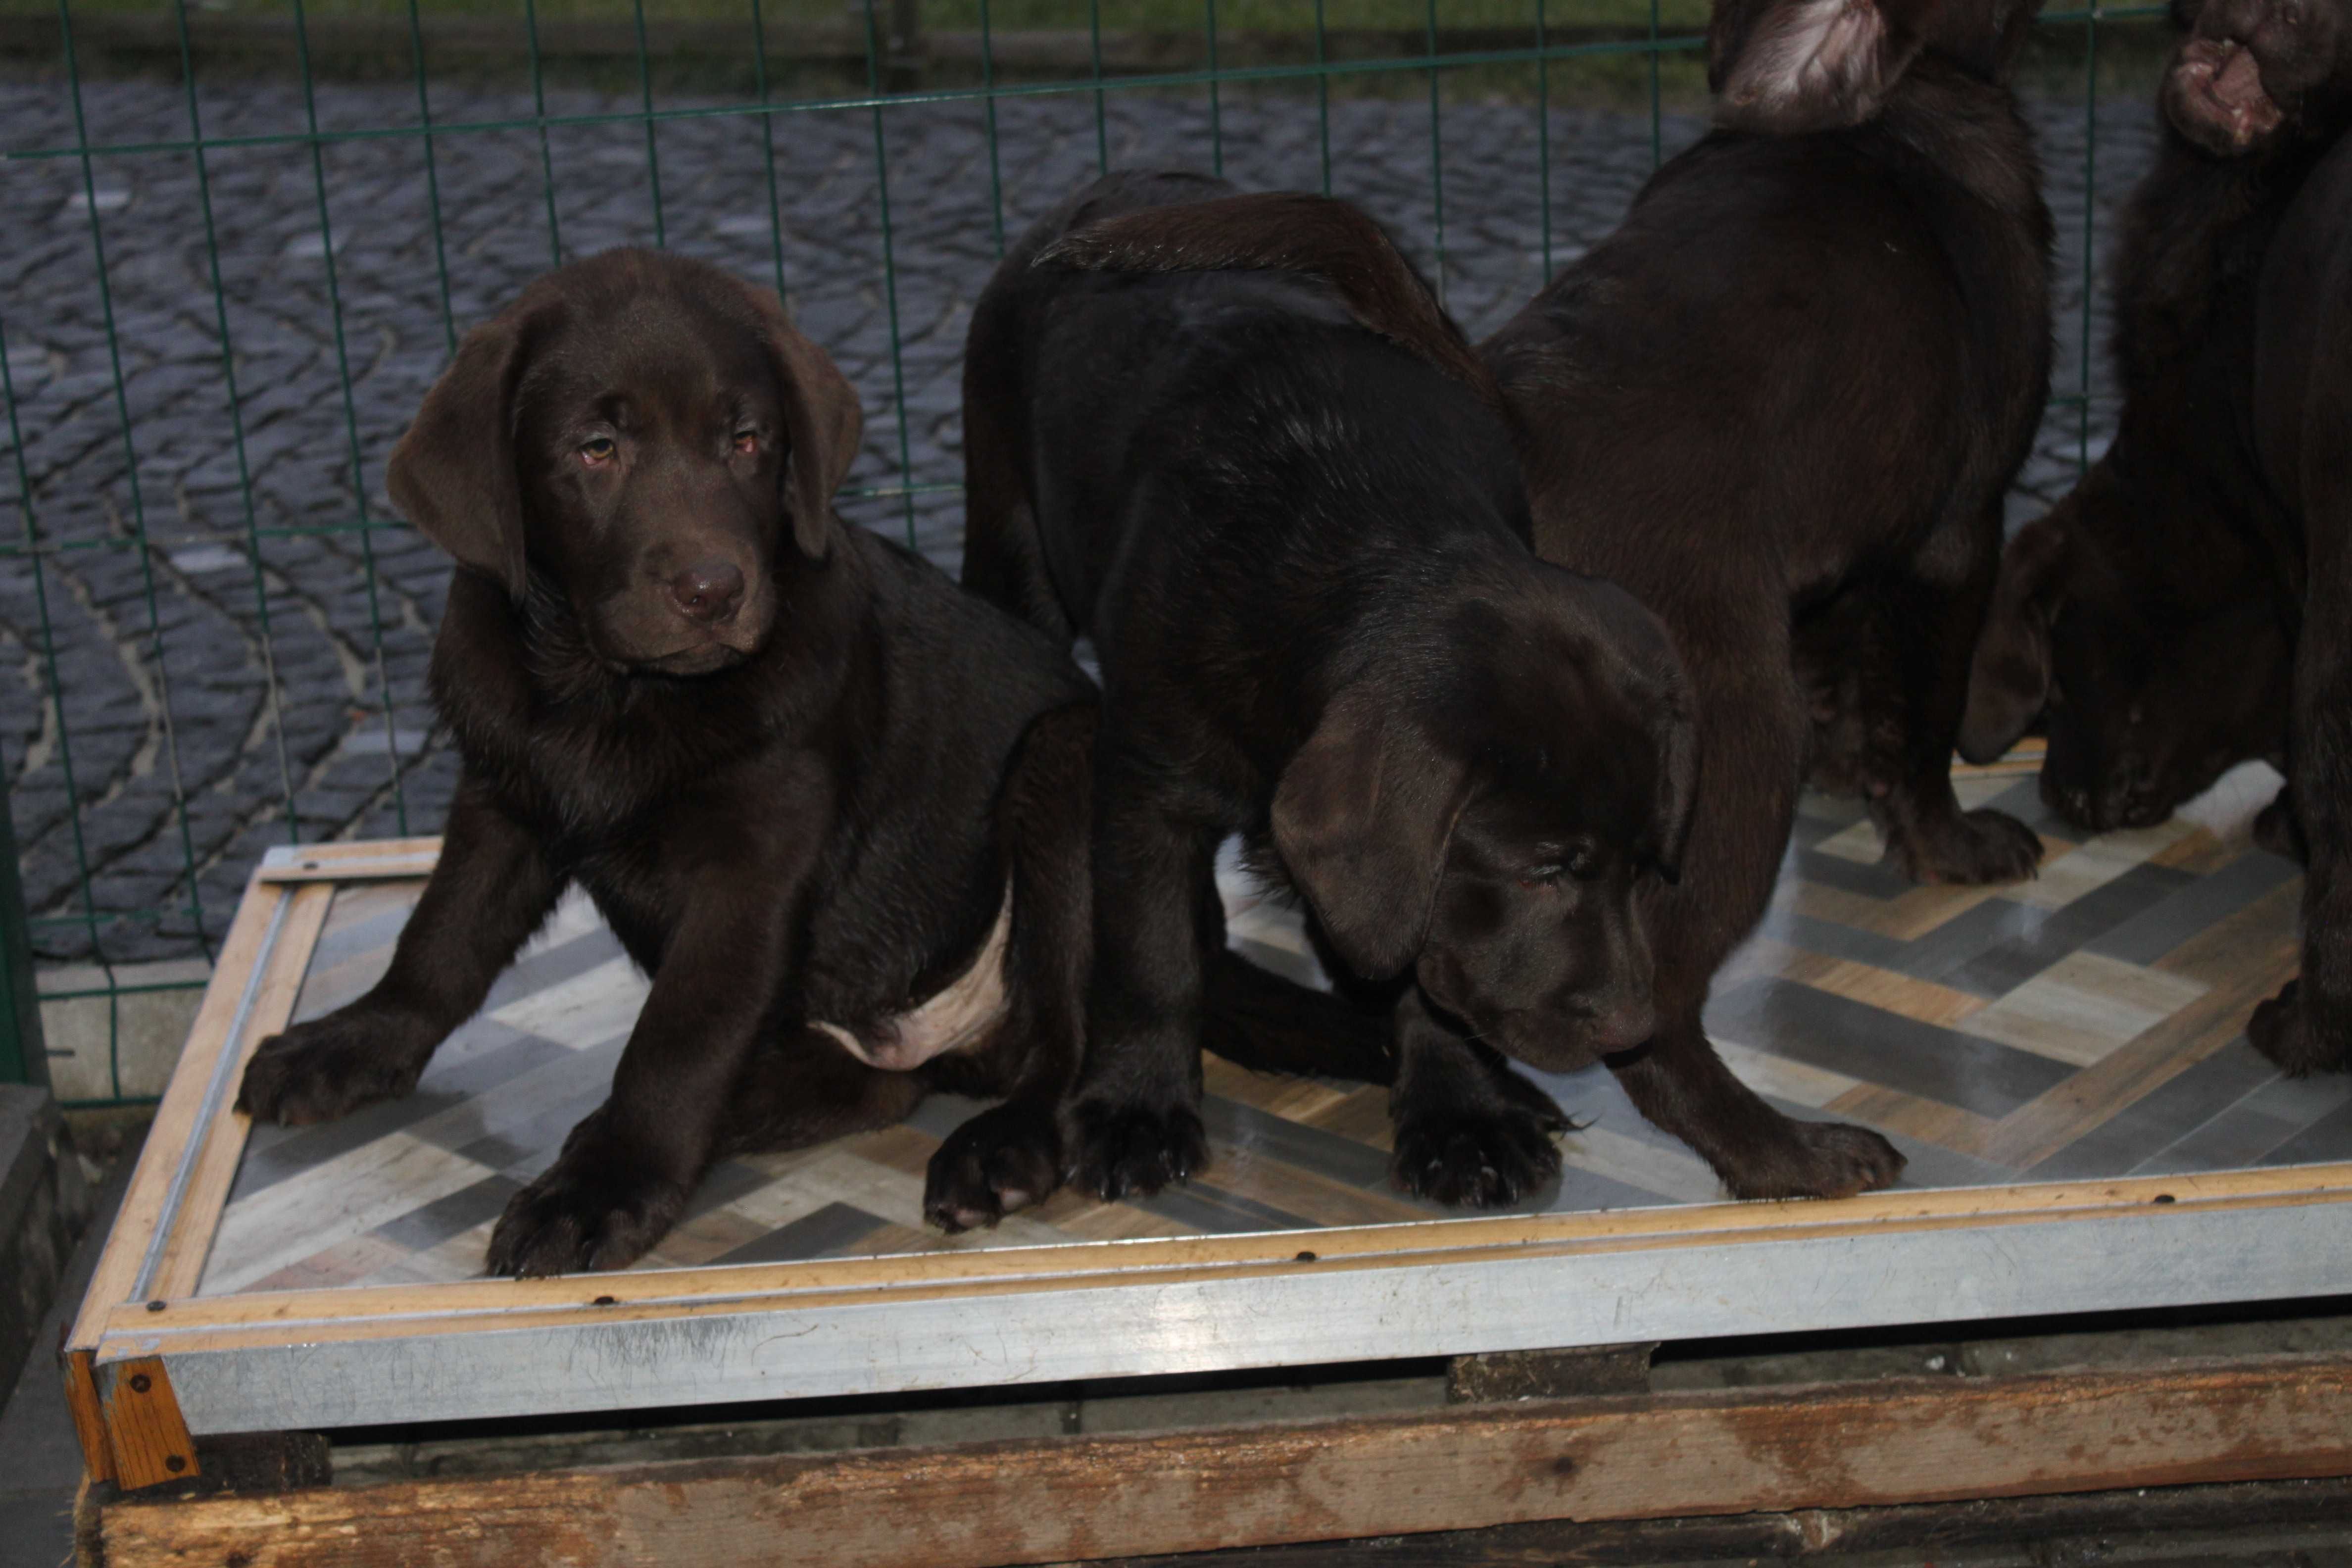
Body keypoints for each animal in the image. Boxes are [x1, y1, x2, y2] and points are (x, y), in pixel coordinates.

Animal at [964, 171, 1703, 1213]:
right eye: (1542, 868)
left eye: (1644, 868)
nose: (1629, 1032)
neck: (1364, 534)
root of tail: (1120, 183)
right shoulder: (1148, 781)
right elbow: (1149, 953)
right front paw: (1137, 1107)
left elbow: (1424, 968)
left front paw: (1461, 1116)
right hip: (1010, 534)